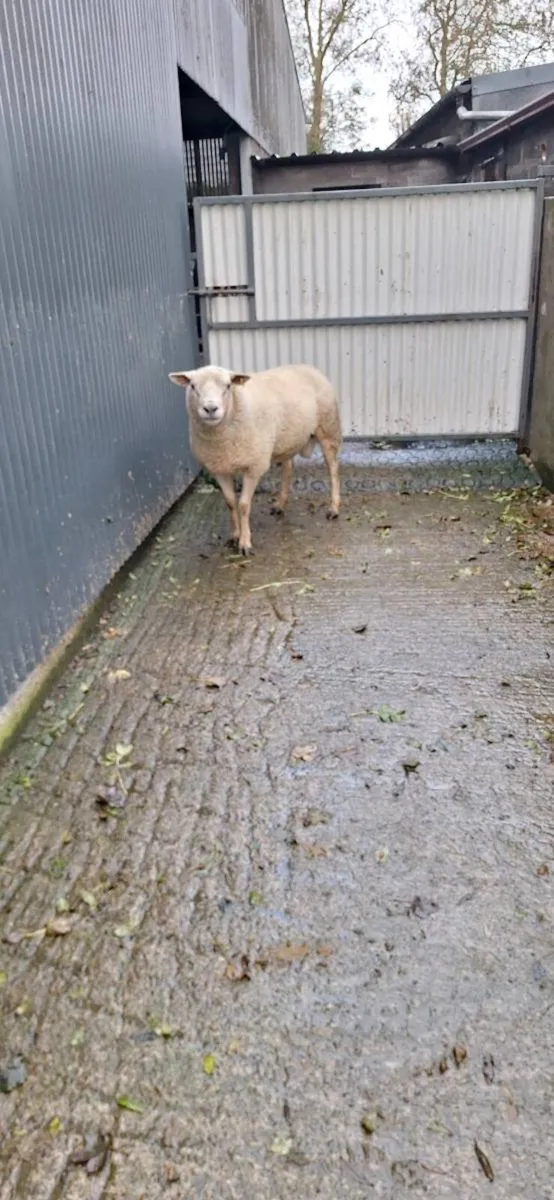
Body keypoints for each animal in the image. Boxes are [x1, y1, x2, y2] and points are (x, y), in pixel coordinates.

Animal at [168, 363, 342, 555]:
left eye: (228, 386)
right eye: (192, 386)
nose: (211, 409)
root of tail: (309, 367)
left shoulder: (254, 466)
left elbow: (243, 505)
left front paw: (245, 543)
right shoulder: (219, 468)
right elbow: (230, 502)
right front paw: (235, 535)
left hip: (328, 427)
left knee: (333, 468)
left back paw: (334, 508)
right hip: (286, 439)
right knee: (288, 468)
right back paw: (280, 504)